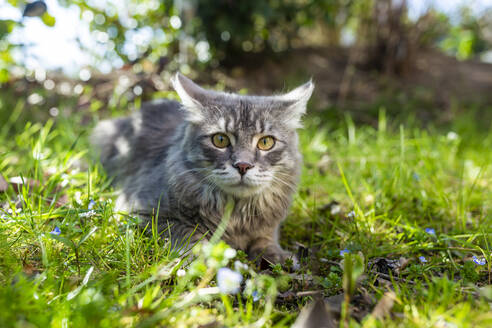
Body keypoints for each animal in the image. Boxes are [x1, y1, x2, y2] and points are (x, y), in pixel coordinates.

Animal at [90, 73, 314, 264]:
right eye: (220, 140)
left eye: (266, 142)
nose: (243, 165)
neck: (236, 213)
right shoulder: (143, 210)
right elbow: (188, 234)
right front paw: (206, 256)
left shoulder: (268, 226)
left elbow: (265, 239)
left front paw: (278, 257)